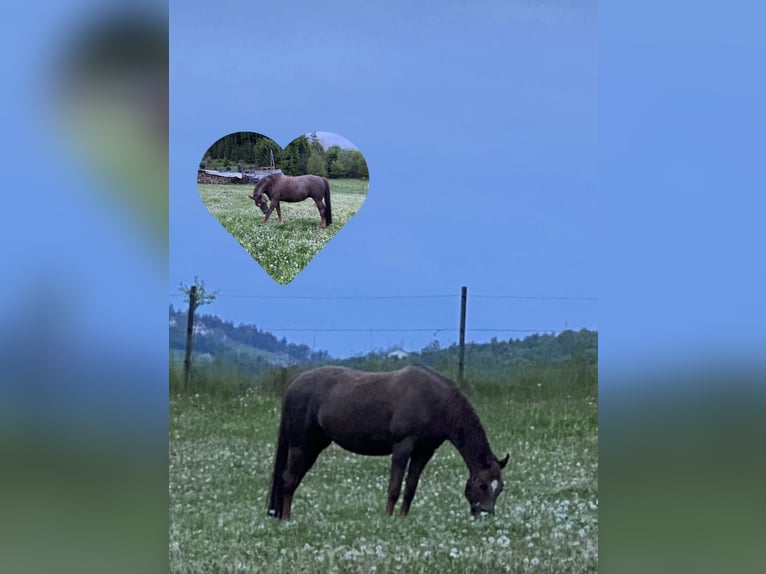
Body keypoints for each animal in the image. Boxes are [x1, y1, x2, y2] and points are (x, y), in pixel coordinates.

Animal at [267, 365, 509, 520]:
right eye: (482, 485)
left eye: (500, 488)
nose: (486, 514)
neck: (435, 401)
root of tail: (293, 384)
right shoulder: (402, 446)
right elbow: (394, 486)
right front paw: (388, 518)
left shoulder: (423, 452)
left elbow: (410, 487)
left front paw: (402, 518)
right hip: (301, 446)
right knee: (289, 479)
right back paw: (287, 519)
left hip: (314, 445)